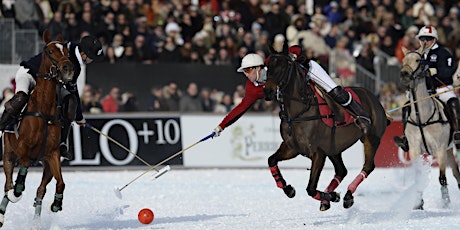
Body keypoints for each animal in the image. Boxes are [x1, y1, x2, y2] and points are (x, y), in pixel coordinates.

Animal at [0, 29, 73, 226]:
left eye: (67, 51)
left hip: (46, 166)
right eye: (49, 51)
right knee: (7, 182)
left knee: (41, 189)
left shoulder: (52, 154)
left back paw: (36, 222)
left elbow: (61, 183)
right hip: (9, 151)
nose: (68, 68)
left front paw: (56, 204)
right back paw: (4, 209)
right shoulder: (23, 149)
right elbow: (20, 176)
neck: (44, 109)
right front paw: (16, 191)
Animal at [262, 49, 388, 211]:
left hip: (371, 138)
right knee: (342, 170)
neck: (298, 113)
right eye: (267, 67)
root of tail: (375, 98)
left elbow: (310, 189)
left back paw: (347, 196)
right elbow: (271, 160)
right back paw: (328, 198)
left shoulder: (318, 153)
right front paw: (288, 189)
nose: (267, 91)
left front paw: (333, 196)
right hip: (334, 148)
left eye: (283, 67)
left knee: (368, 166)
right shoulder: (292, 148)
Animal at [398, 47, 460, 210]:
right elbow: (418, 177)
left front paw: (445, 203)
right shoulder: (414, 150)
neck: (422, 117)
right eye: (403, 60)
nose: (404, 74)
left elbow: (442, 177)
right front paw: (418, 204)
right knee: (457, 173)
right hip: (449, 151)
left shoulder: (440, 148)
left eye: (418, 60)